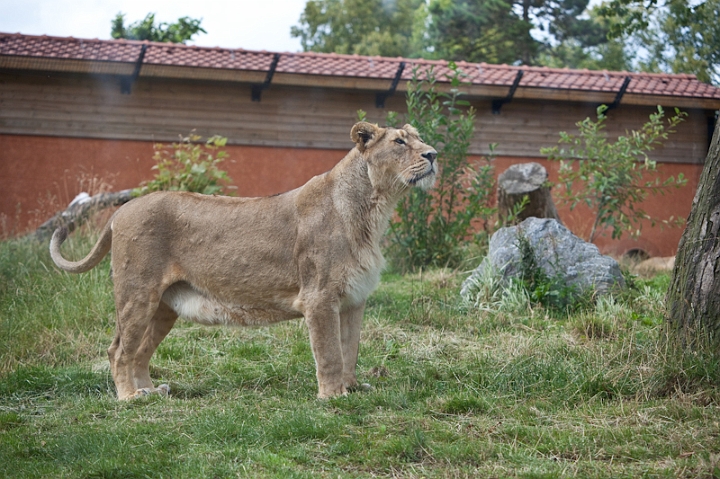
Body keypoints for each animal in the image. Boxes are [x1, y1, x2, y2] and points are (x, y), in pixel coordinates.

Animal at [50, 122, 437, 400]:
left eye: (419, 138)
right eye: (400, 142)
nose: (434, 154)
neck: (374, 209)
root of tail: (121, 210)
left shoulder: (354, 299)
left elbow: (350, 349)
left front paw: (353, 389)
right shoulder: (320, 296)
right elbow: (330, 352)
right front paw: (333, 397)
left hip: (163, 307)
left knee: (140, 351)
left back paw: (150, 391)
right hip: (136, 294)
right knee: (118, 350)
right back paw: (129, 398)